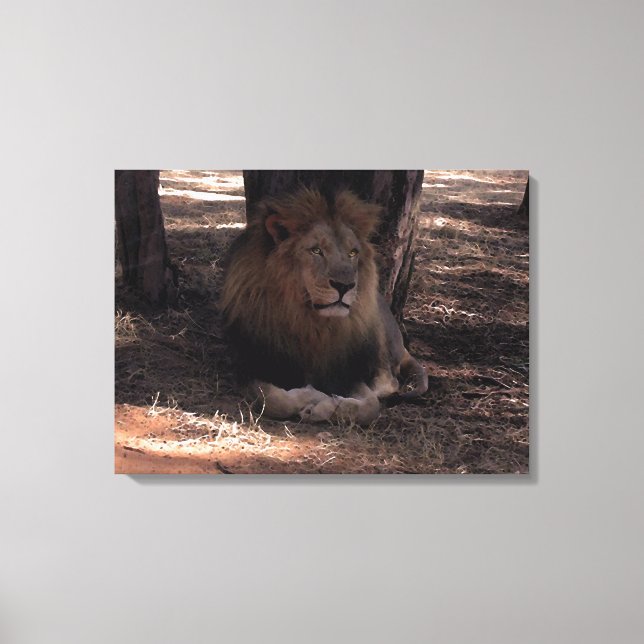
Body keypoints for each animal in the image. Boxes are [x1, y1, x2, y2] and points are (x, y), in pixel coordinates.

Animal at [220, 187, 428, 424]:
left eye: (352, 253)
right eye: (316, 251)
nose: (345, 285)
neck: (310, 323)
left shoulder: (345, 373)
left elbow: (370, 407)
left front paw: (323, 406)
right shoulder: (251, 365)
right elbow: (273, 399)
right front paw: (313, 396)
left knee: (389, 381)